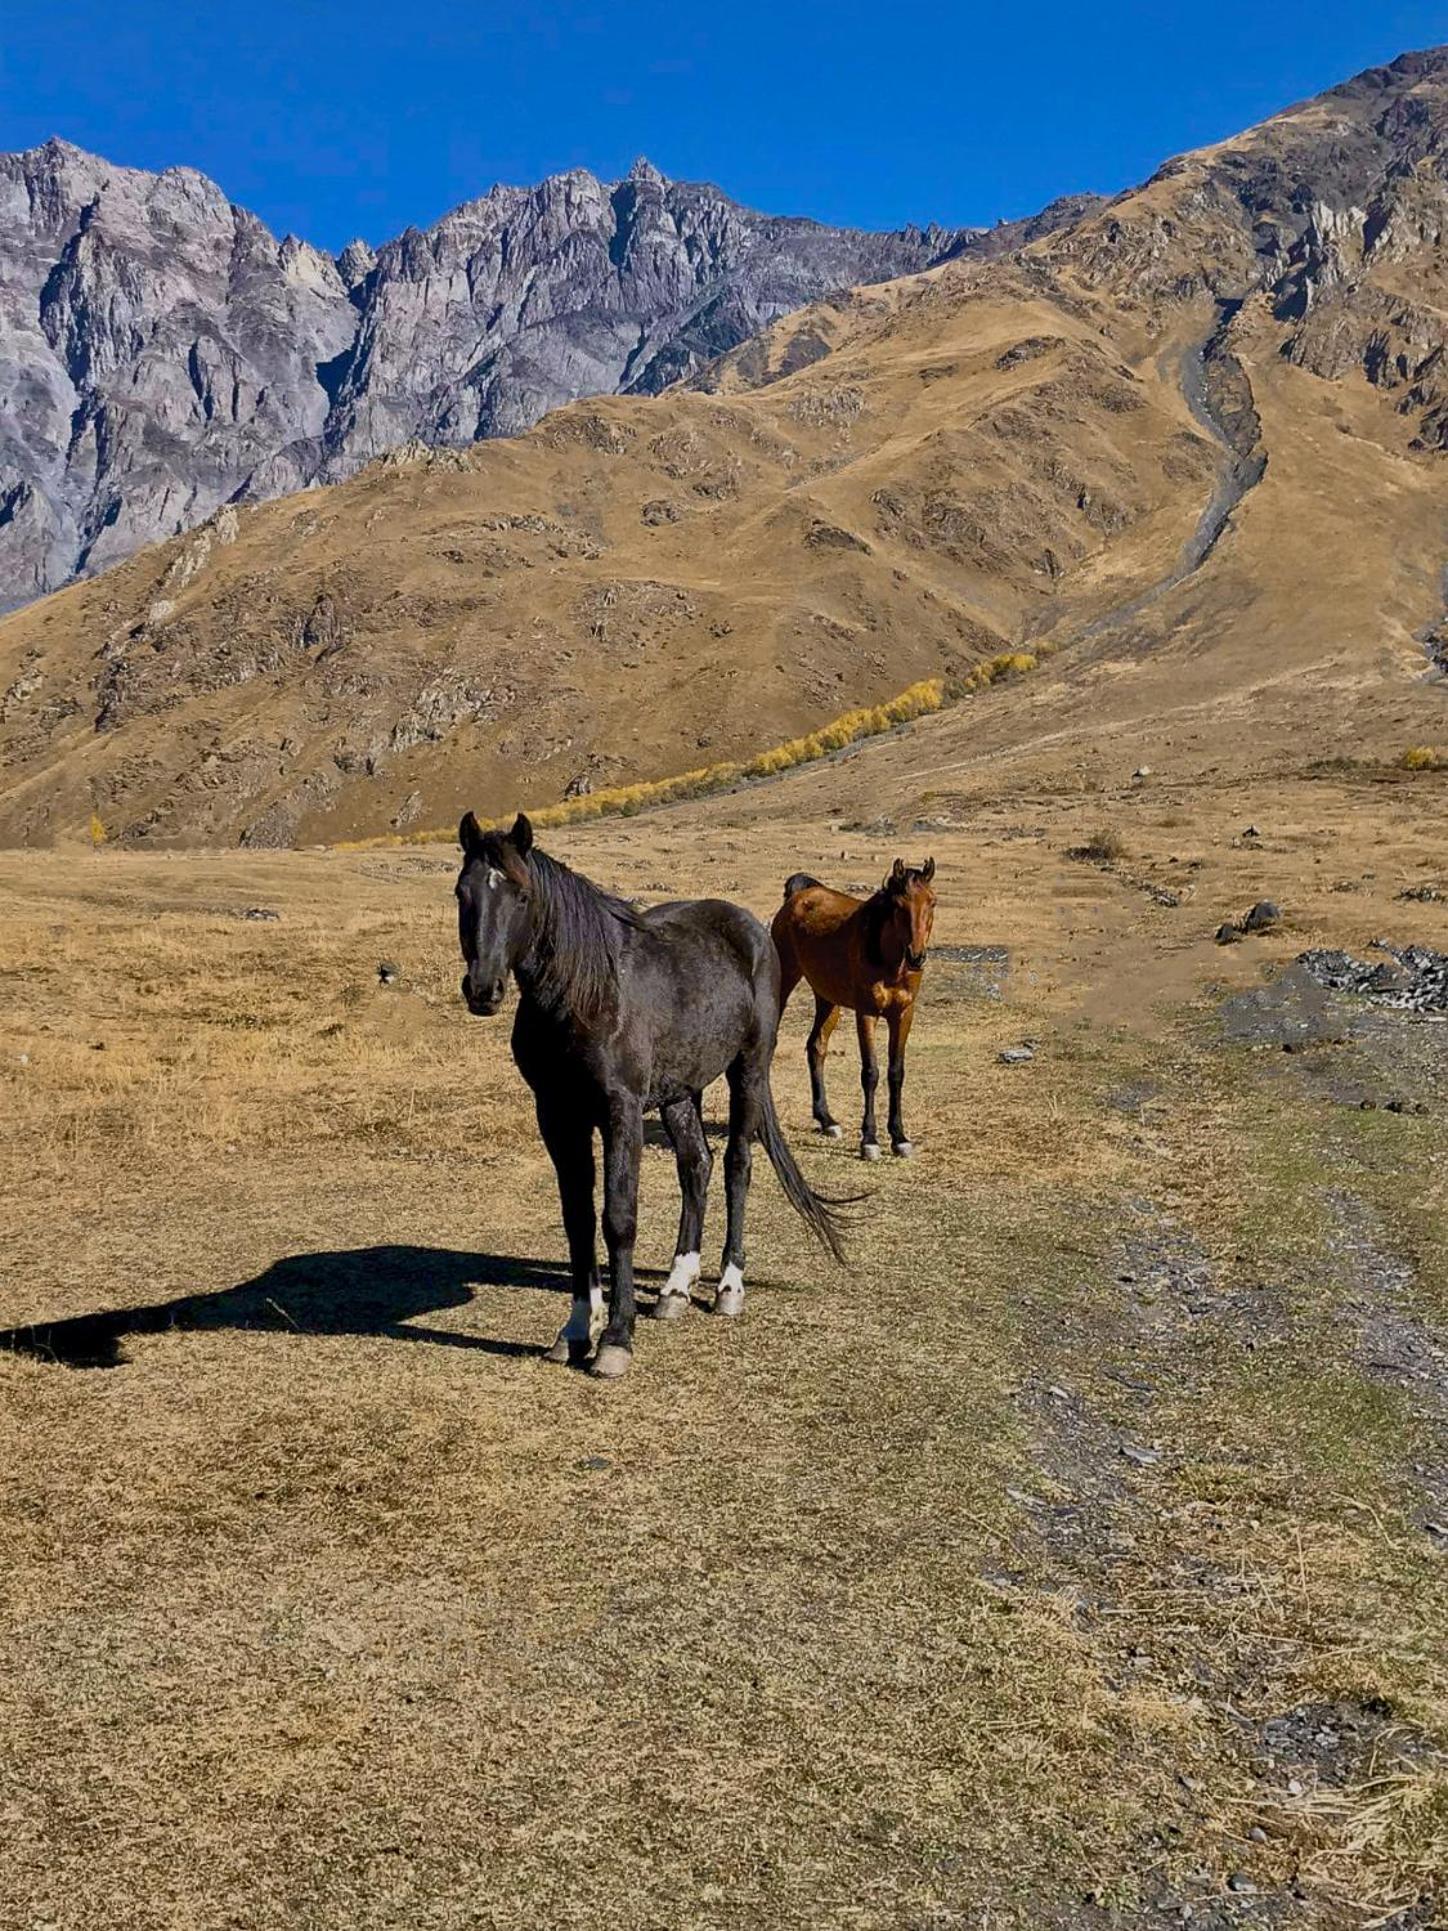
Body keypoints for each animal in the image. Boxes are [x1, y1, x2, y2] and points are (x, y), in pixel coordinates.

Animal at [459, 811, 845, 1374]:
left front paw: (616, 1337)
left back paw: (728, 1286)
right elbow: (578, 1218)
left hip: (748, 1072)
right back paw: (676, 1287)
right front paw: (577, 1329)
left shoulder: (620, 1112)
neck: (586, 996)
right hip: (680, 1092)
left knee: (736, 1166)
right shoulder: (557, 1114)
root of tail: (751, 929)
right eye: (462, 892)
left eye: (522, 895)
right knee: (696, 1166)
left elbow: (618, 1217)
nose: (482, 990)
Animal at [776, 861, 934, 1158]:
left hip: (827, 999)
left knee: (817, 1046)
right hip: (783, 982)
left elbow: (896, 1072)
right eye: (899, 905)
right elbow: (870, 1072)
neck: (890, 961)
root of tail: (801, 895)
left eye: (932, 902)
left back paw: (827, 1121)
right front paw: (869, 1140)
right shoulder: (867, 1014)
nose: (916, 956)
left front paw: (899, 1137)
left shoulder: (903, 1015)